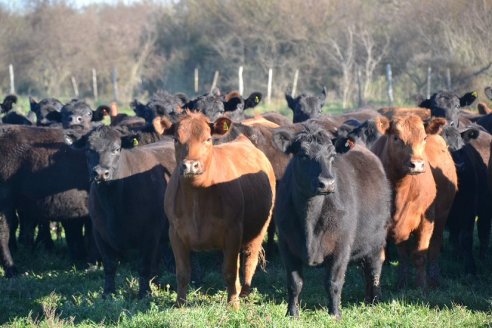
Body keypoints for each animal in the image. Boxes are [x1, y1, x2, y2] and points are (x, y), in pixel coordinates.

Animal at [65, 127, 176, 296]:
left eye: (116, 149)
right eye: (88, 149)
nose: (100, 173)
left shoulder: (150, 233)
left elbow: (144, 265)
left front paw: (144, 293)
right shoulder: (100, 233)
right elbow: (110, 265)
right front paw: (108, 293)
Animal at [154, 111, 276, 308]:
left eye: (208, 139)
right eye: (176, 139)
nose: (190, 165)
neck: (197, 195)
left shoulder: (233, 231)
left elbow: (230, 271)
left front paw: (233, 305)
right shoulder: (175, 233)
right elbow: (182, 273)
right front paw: (180, 304)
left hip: (259, 229)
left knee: (249, 260)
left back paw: (244, 294)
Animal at [272, 122, 388, 318]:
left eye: (332, 155)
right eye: (303, 155)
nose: (327, 183)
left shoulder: (341, 247)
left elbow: (333, 283)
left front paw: (335, 314)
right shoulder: (286, 245)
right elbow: (295, 283)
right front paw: (292, 314)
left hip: (377, 241)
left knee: (374, 270)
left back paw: (375, 301)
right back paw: (367, 300)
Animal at [372, 114, 438, 288]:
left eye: (424, 138)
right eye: (396, 138)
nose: (417, 165)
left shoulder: (427, 219)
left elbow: (420, 255)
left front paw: (422, 288)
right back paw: (401, 282)